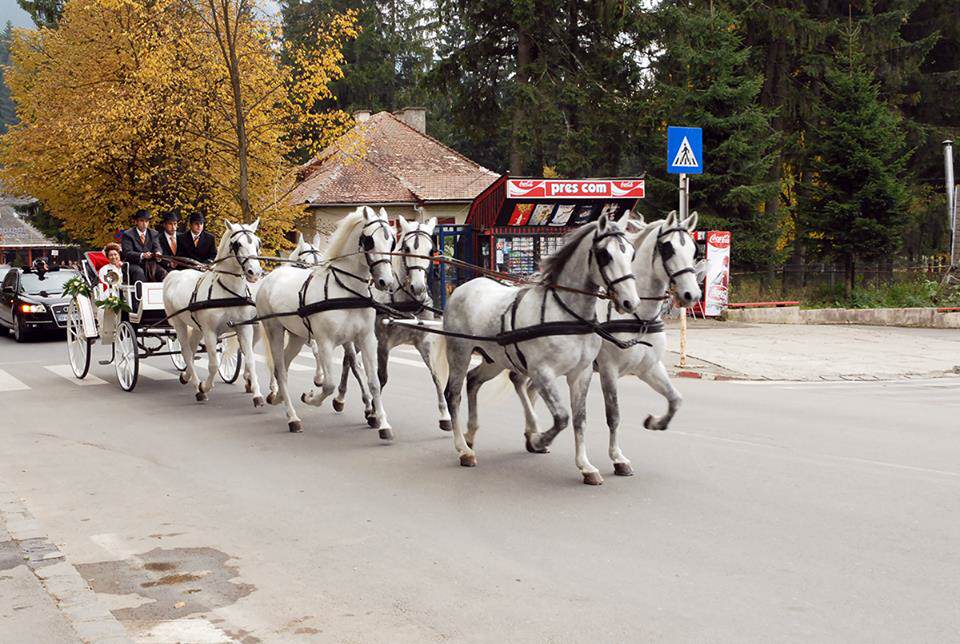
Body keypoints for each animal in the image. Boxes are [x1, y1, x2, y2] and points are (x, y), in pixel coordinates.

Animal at [162, 219, 264, 406]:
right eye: (237, 244)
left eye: (257, 243)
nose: (255, 272)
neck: (228, 292)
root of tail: (174, 274)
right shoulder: (210, 332)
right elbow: (214, 364)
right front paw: (204, 387)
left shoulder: (244, 328)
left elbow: (251, 360)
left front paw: (257, 395)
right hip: (179, 323)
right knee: (186, 351)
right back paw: (197, 386)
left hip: (196, 326)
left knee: (192, 348)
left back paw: (186, 376)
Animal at [256, 209, 396, 436]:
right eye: (369, 241)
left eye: (391, 241)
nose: (387, 282)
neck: (347, 291)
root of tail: (270, 276)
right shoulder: (324, 343)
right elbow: (329, 385)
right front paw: (311, 397)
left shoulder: (365, 339)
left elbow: (373, 381)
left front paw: (382, 422)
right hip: (274, 330)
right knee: (280, 370)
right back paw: (292, 417)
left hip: (296, 337)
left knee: (282, 365)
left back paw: (277, 398)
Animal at [332, 215, 452, 428]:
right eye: (407, 249)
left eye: (431, 251)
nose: (418, 287)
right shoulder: (382, 343)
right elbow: (381, 378)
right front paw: (375, 414)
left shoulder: (423, 342)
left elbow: (436, 375)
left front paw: (445, 415)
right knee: (352, 363)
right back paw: (354, 401)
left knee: (348, 361)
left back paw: (345, 399)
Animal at [440, 214, 636, 486]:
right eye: (605, 254)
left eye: (631, 253)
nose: (630, 302)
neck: (566, 314)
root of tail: (462, 288)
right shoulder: (543, 373)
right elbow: (562, 417)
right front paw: (539, 439)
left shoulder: (581, 373)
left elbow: (579, 419)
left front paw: (586, 467)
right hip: (459, 352)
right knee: (453, 394)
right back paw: (463, 449)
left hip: (494, 360)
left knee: (473, 381)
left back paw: (470, 435)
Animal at [512, 211, 700, 478]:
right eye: (667, 249)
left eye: (694, 249)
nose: (691, 295)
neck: (638, 316)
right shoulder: (608, 370)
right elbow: (614, 415)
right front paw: (618, 459)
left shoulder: (650, 367)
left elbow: (676, 400)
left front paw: (655, 422)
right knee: (519, 383)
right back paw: (535, 435)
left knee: (528, 388)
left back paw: (533, 436)